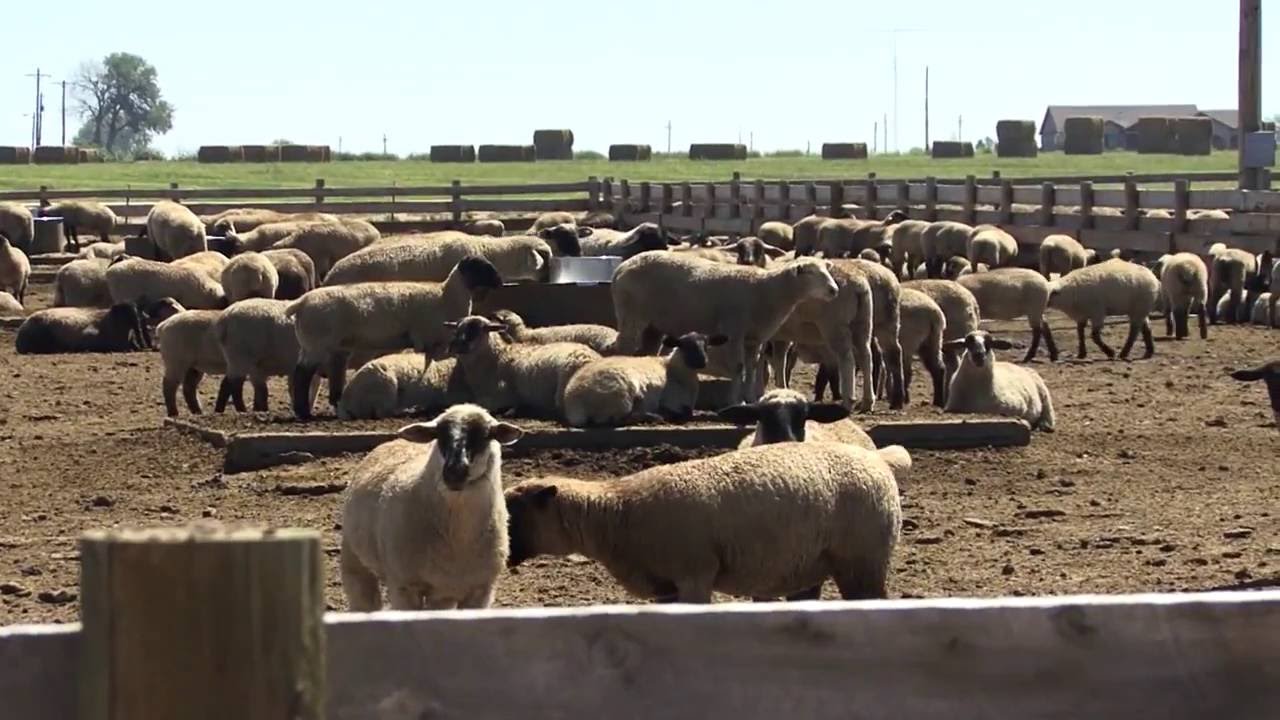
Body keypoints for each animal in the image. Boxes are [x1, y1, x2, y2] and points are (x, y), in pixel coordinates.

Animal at [341, 404, 522, 610]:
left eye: (486, 435)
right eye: (439, 435)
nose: (454, 471)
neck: (458, 538)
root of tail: (394, 440)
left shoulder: (481, 590)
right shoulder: (405, 587)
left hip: (443, 593)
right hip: (353, 558)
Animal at [446, 315, 602, 419]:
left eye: (475, 329)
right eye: (457, 330)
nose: (453, 345)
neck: (496, 358)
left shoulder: (501, 395)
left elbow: (473, 404)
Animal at [505, 441, 907, 602]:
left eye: (513, 511)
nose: (501, 554)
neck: (617, 513)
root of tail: (878, 460)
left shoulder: (694, 575)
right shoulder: (665, 586)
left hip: (863, 561)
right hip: (814, 563)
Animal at [562, 331, 727, 427]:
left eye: (707, 346)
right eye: (684, 346)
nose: (702, 362)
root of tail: (573, 402)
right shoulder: (671, 400)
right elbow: (685, 412)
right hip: (620, 396)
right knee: (618, 419)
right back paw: (654, 416)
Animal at [612, 253, 840, 405]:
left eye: (827, 270)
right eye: (810, 272)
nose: (834, 290)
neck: (766, 290)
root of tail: (621, 268)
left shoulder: (754, 338)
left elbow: (752, 366)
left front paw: (750, 398)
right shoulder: (734, 331)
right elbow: (738, 367)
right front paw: (735, 401)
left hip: (653, 325)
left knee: (645, 352)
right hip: (632, 315)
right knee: (622, 349)